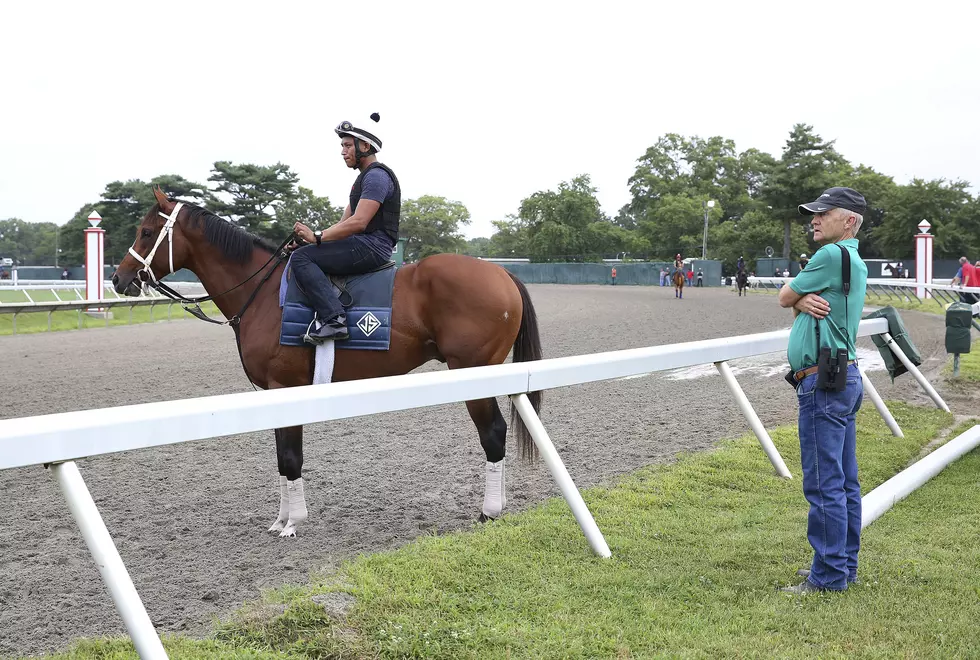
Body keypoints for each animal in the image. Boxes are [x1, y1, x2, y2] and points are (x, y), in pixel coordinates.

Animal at [116, 188, 548, 540]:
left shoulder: (285, 386)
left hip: (474, 373)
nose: (120, 279)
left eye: (146, 232)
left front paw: (293, 522)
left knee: (492, 433)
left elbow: (291, 456)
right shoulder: (275, 394)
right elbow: (281, 458)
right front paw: (281, 518)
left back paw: (490, 511)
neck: (262, 292)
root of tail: (501, 272)